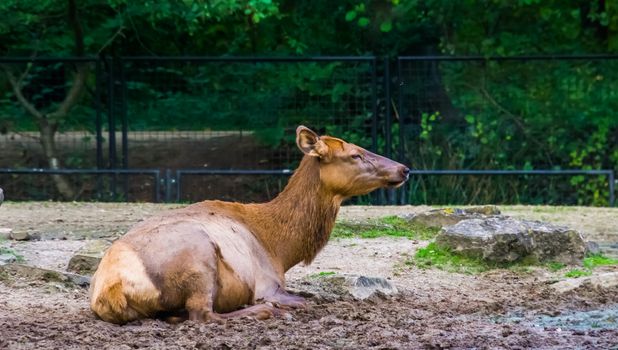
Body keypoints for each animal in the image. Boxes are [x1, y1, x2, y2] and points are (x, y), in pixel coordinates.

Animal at [90, 125, 410, 322]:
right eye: (355, 154)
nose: (404, 169)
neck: (281, 250)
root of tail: (111, 289)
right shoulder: (268, 284)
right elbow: (306, 300)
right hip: (198, 258)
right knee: (202, 314)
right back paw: (265, 311)